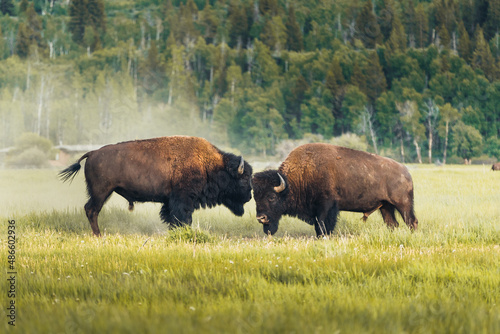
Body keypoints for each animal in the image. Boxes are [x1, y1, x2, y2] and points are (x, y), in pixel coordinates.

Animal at [59, 135, 254, 235]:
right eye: (244, 179)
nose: (250, 195)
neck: (210, 164)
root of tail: (92, 153)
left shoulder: (170, 202)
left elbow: (171, 218)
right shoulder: (183, 199)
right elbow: (183, 218)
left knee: (90, 209)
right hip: (101, 192)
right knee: (91, 209)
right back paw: (99, 235)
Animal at [254, 144, 418, 237]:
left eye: (271, 197)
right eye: (255, 197)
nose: (261, 218)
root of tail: (406, 171)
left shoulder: (326, 206)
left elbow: (322, 226)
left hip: (403, 205)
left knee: (412, 222)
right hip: (385, 207)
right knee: (393, 224)